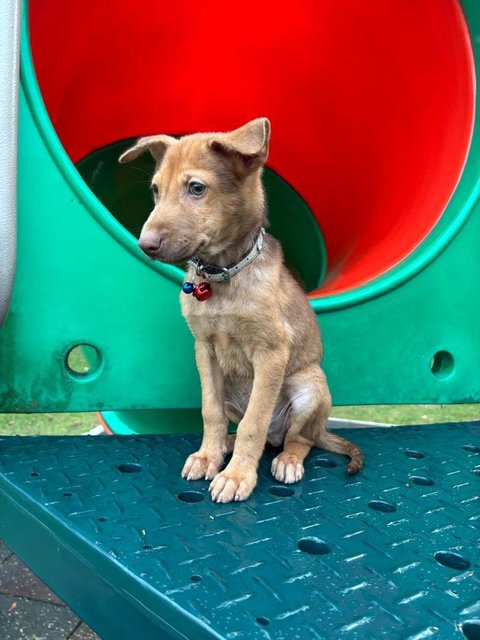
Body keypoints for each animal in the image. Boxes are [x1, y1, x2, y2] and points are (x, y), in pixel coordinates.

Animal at [120, 117, 364, 502]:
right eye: (156, 190)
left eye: (196, 188)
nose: (145, 245)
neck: (221, 276)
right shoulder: (204, 349)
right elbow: (210, 411)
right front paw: (208, 456)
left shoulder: (271, 353)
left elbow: (255, 421)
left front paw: (236, 477)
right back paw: (226, 446)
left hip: (310, 384)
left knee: (298, 439)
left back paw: (287, 459)